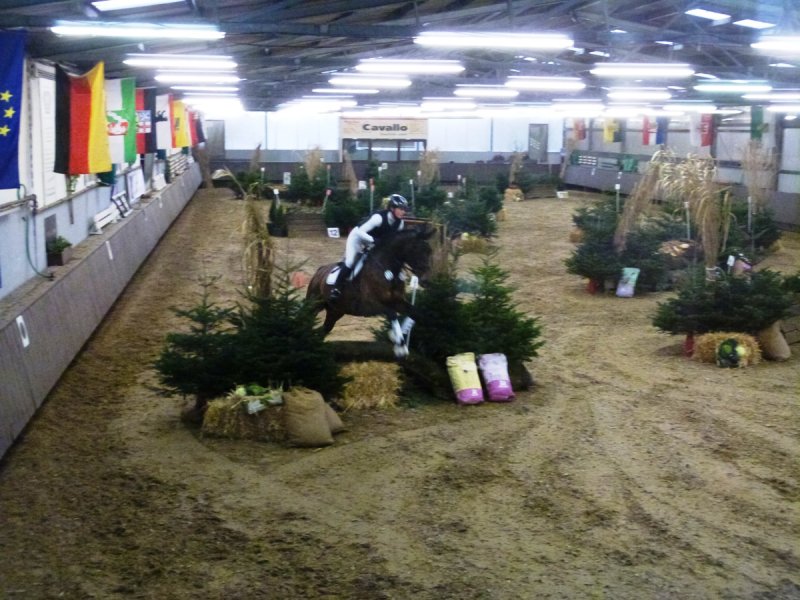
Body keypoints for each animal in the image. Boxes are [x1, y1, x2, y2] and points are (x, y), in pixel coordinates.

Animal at [306, 226, 435, 357]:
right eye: (416, 249)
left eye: (429, 251)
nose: (426, 281)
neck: (388, 270)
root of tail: (320, 270)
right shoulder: (370, 305)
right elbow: (392, 313)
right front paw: (400, 345)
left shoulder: (397, 301)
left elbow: (418, 314)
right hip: (314, 304)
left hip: (336, 311)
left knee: (324, 330)